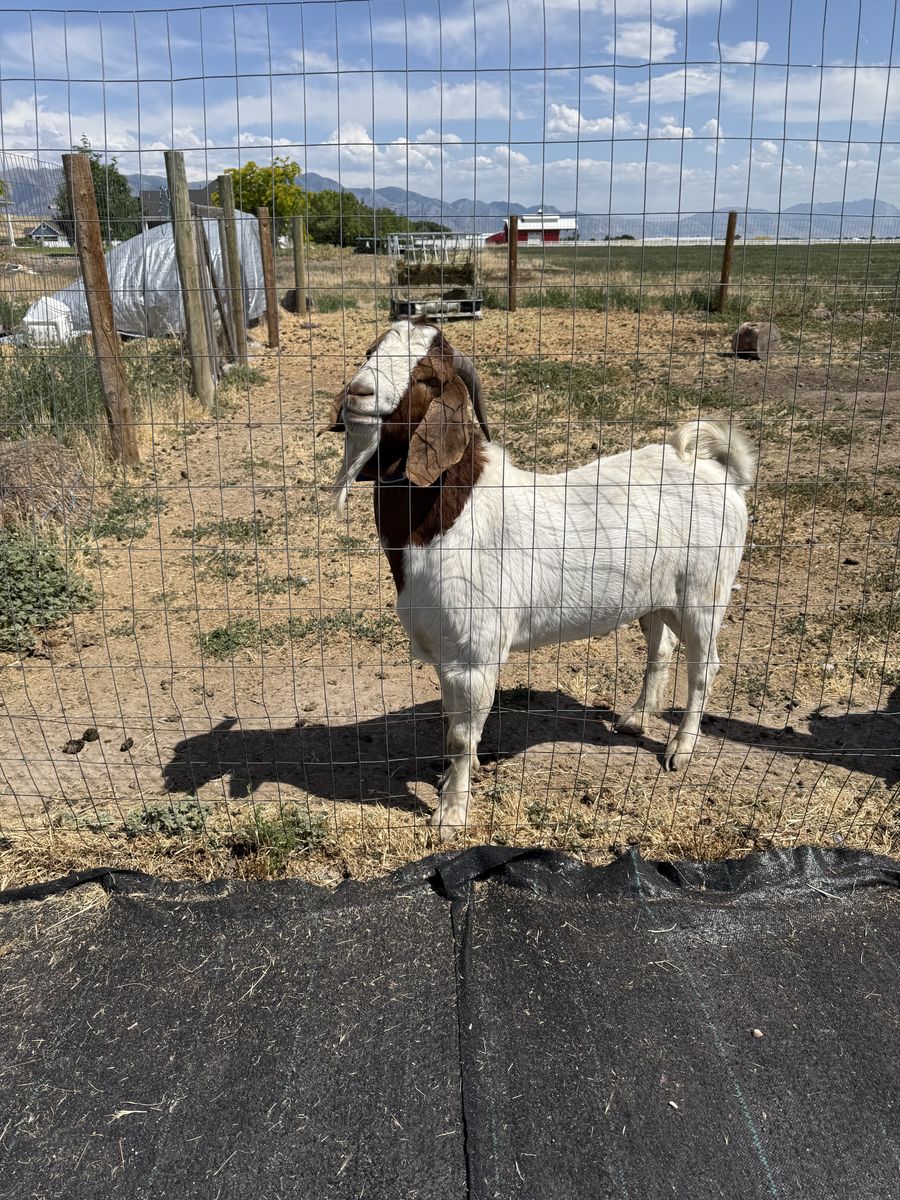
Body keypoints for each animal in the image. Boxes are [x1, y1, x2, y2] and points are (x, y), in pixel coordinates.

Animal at [322, 319, 756, 836]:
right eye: (370, 352)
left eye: (427, 377)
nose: (358, 392)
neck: (448, 515)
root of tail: (718, 471)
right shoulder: (447, 650)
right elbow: (451, 725)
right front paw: (450, 783)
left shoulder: (474, 653)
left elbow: (461, 736)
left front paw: (451, 814)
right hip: (654, 596)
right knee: (662, 647)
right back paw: (635, 719)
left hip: (705, 593)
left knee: (704, 666)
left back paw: (680, 751)